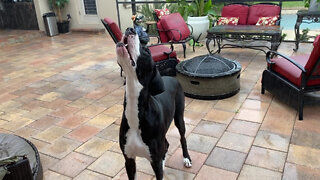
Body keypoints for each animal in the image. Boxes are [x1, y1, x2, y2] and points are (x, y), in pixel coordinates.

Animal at [116, 27, 191, 179]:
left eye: (147, 50)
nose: (130, 29)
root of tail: (171, 77)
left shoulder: (154, 161)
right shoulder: (129, 159)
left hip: (179, 116)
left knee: (182, 138)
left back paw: (186, 158)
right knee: (166, 144)